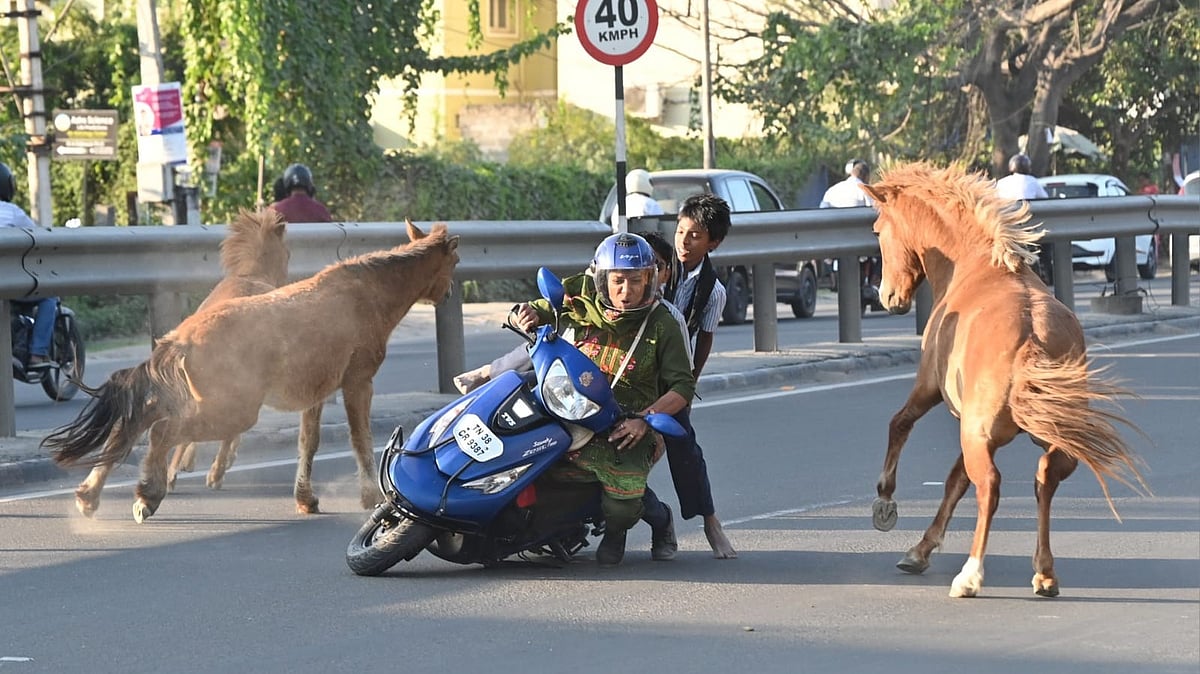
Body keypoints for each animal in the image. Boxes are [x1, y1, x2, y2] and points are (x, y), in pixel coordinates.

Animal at [860, 162, 1147, 598]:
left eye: (878, 229)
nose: (888, 297)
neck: (976, 266)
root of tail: (1031, 335)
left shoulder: (930, 387)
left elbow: (901, 425)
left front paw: (886, 502)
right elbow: (955, 479)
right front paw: (920, 549)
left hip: (979, 433)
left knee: (991, 487)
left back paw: (970, 574)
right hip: (1046, 432)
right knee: (1044, 477)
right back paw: (1044, 573)